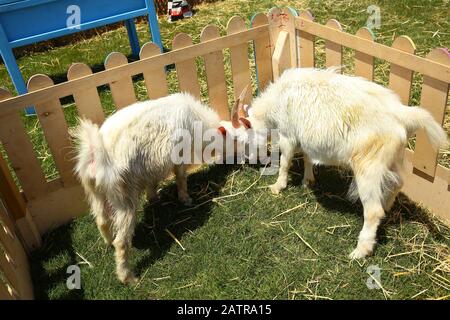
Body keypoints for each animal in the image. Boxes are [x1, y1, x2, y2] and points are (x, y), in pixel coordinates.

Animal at [72, 91, 246, 284]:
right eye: (235, 138)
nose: (243, 158)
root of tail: (96, 154)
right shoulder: (179, 156)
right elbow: (181, 178)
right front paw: (185, 199)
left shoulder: (149, 168)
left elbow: (152, 184)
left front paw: (154, 199)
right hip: (124, 196)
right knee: (122, 241)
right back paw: (128, 277)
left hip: (96, 192)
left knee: (101, 220)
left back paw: (108, 243)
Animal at [230, 68, 448, 260]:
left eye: (243, 140)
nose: (246, 161)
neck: (278, 99)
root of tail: (402, 114)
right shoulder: (305, 136)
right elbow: (307, 157)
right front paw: (308, 181)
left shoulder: (288, 134)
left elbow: (285, 161)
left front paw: (277, 186)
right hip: (391, 158)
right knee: (398, 183)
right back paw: (386, 208)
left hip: (368, 163)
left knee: (372, 210)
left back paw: (361, 250)